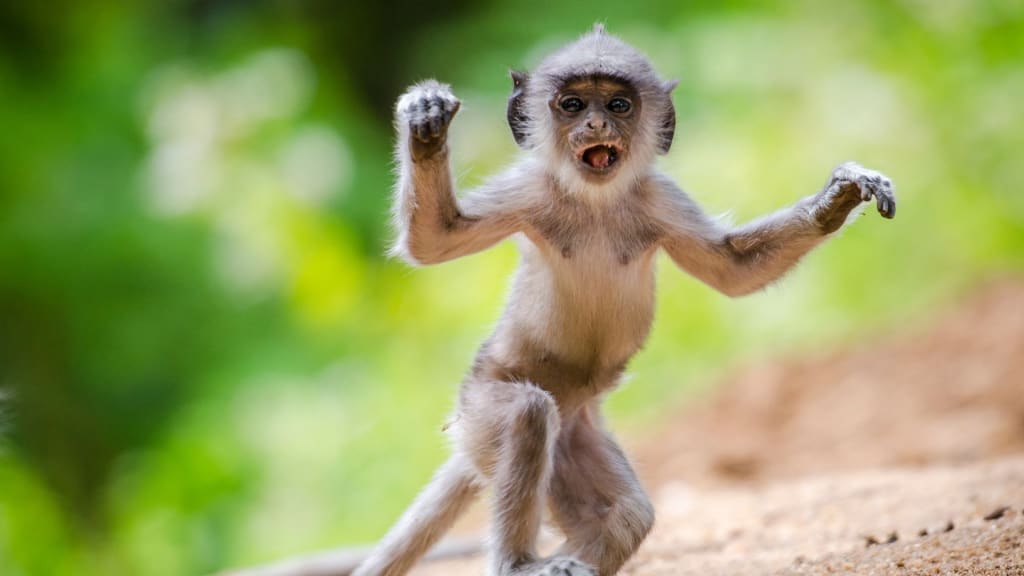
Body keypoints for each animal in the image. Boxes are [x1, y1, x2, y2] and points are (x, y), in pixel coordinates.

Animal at [353, 24, 895, 576]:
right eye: (572, 105)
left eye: (618, 105)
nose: (595, 123)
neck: (596, 202)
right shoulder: (529, 189)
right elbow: (433, 240)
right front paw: (425, 126)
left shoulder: (661, 198)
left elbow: (734, 271)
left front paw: (835, 201)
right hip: (483, 408)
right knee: (528, 413)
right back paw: (519, 563)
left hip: (574, 434)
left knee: (629, 513)